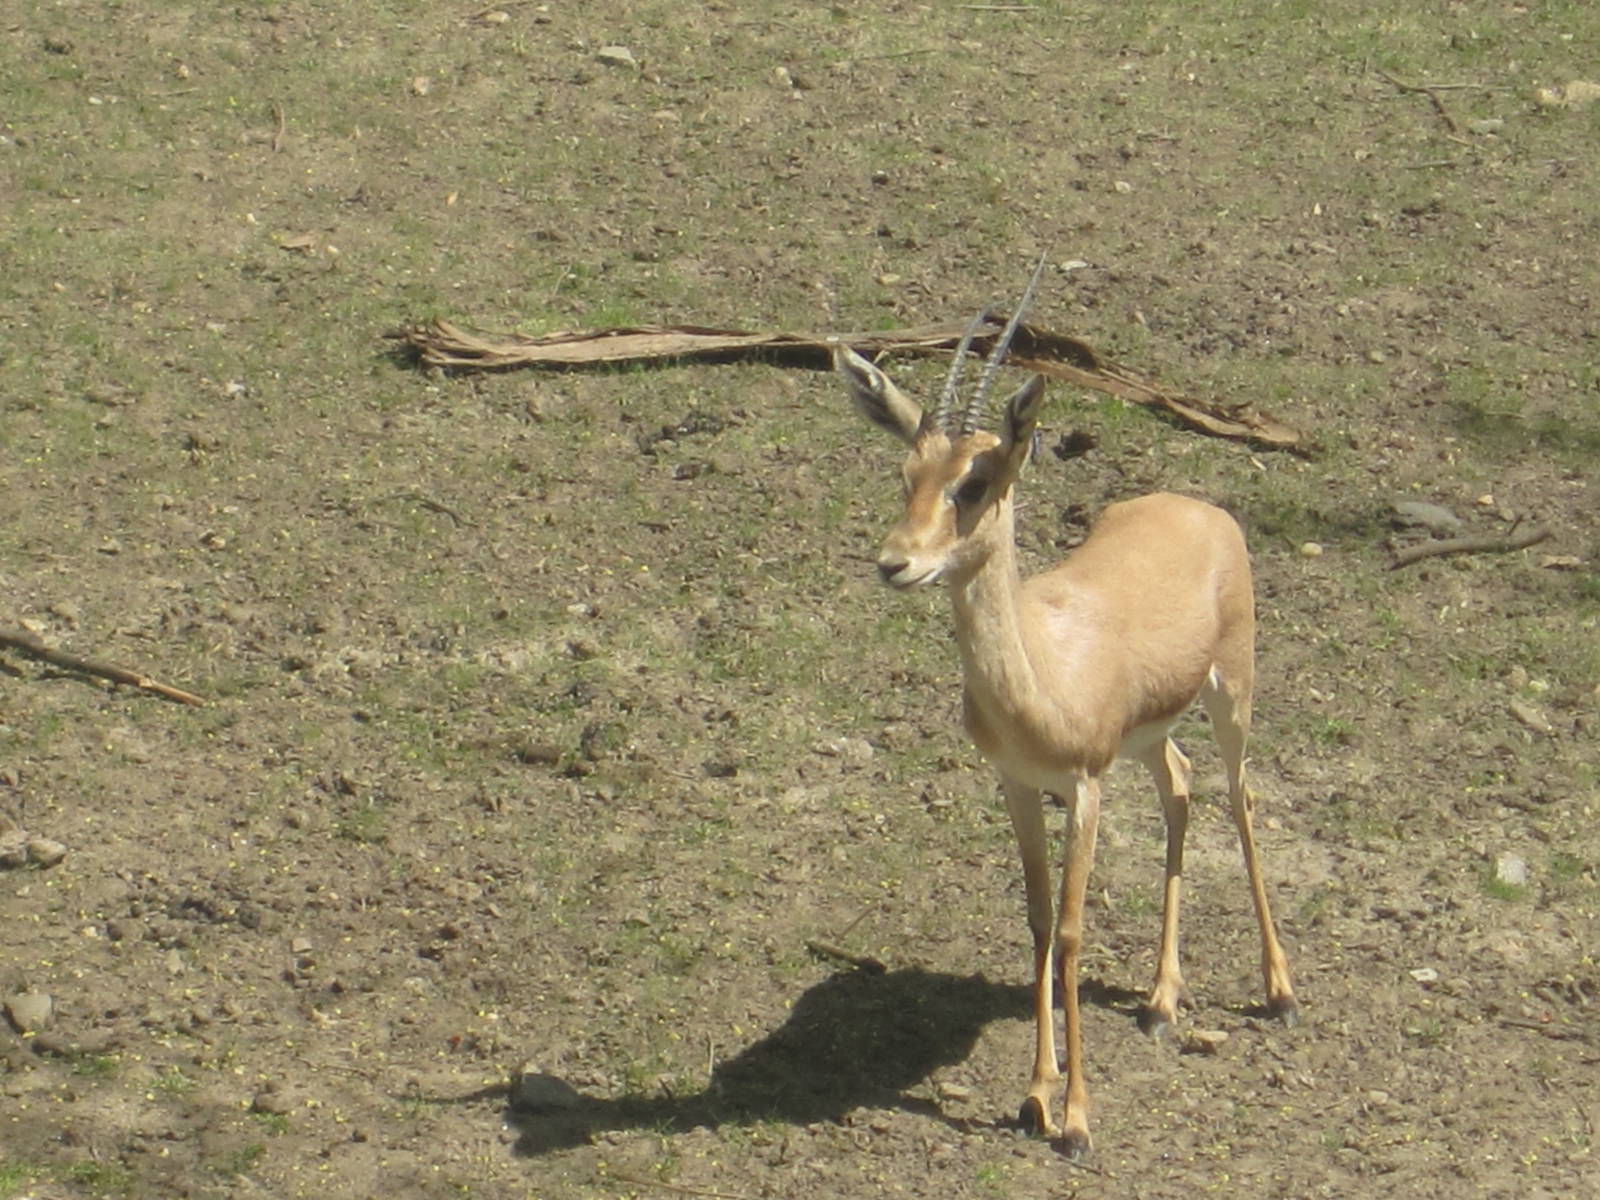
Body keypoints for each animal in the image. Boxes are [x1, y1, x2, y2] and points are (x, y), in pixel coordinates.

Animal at [833, 264, 1297, 1158]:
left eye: (974, 483)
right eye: (906, 477)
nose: (894, 563)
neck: (1041, 682)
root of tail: (1199, 508)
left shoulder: (1084, 787)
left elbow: (1077, 931)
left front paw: (1077, 1119)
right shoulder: (1016, 783)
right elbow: (1041, 920)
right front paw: (1035, 1096)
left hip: (1232, 690)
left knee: (1240, 794)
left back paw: (1281, 991)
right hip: (1150, 736)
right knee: (1180, 787)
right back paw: (1160, 1003)